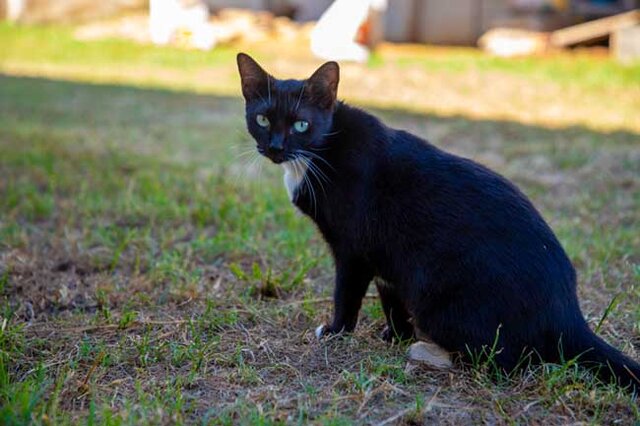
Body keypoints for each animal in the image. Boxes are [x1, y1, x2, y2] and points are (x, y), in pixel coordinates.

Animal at [236, 51, 640, 388]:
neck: (317, 155)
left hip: (440, 301)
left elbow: (346, 295)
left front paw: (337, 332)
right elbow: (391, 298)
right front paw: (395, 335)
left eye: (301, 125)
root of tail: (568, 313)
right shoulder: (385, 258)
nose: (275, 147)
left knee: (510, 362)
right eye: (262, 119)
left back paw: (438, 354)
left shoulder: (353, 251)